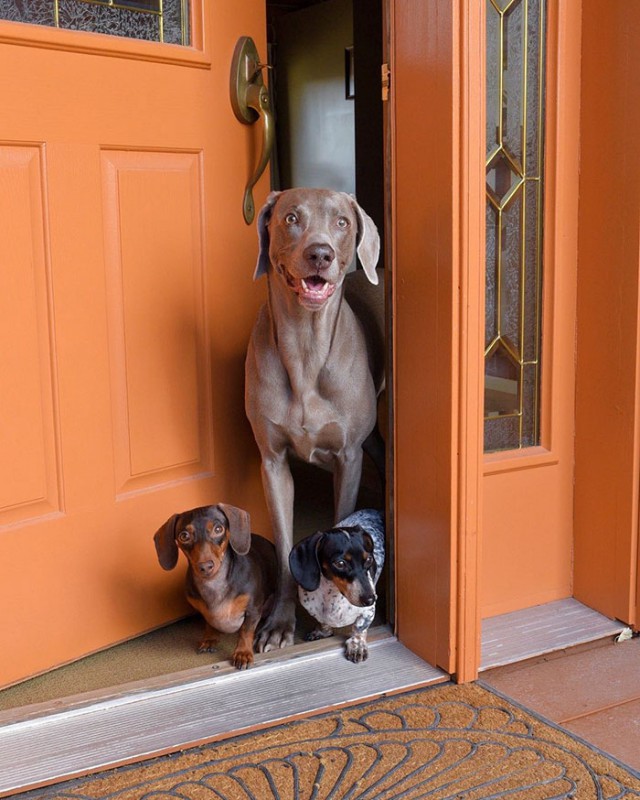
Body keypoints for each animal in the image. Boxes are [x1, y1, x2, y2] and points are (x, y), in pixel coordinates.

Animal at [245, 191, 384, 652]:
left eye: (342, 222)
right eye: (291, 218)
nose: (319, 253)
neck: (305, 350)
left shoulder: (349, 456)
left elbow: (344, 518)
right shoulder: (272, 463)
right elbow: (286, 545)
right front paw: (279, 623)